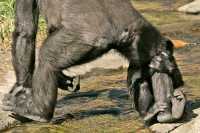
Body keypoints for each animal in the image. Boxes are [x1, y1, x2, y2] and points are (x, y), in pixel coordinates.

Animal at [2, 0, 185, 123]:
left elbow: (25, 31)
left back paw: (39, 112)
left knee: (48, 57)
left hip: (80, 41)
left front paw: (21, 89)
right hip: (145, 39)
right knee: (153, 67)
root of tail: (120, 33)